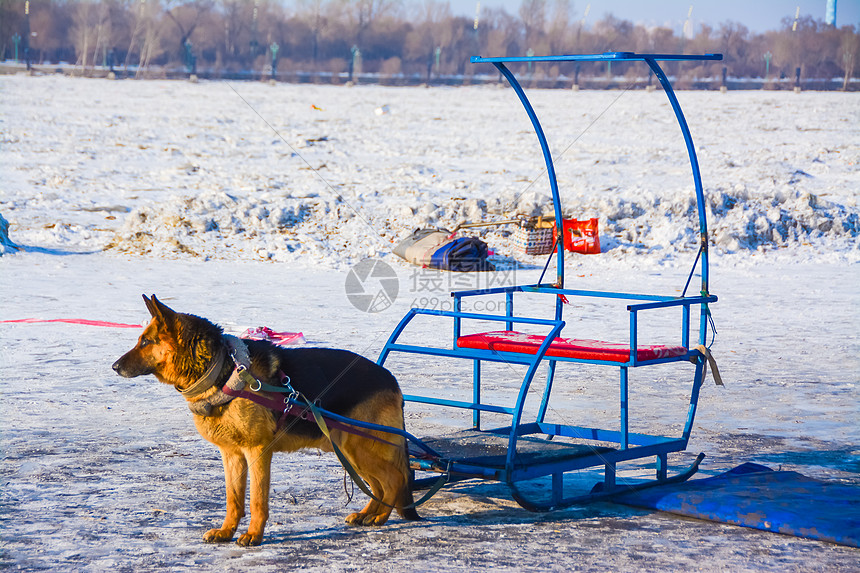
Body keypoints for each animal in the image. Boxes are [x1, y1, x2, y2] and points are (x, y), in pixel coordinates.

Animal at [112, 294, 422, 544]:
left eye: (146, 341)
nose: (114, 366)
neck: (222, 371)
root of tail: (390, 378)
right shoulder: (232, 455)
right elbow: (233, 499)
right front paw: (226, 531)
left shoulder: (257, 452)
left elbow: (257, 500)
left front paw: (253, 535)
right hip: (349, 451)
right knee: (379, 484)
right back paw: (369, 514)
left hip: (359, 447)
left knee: (395, 478)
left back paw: (381, 518)